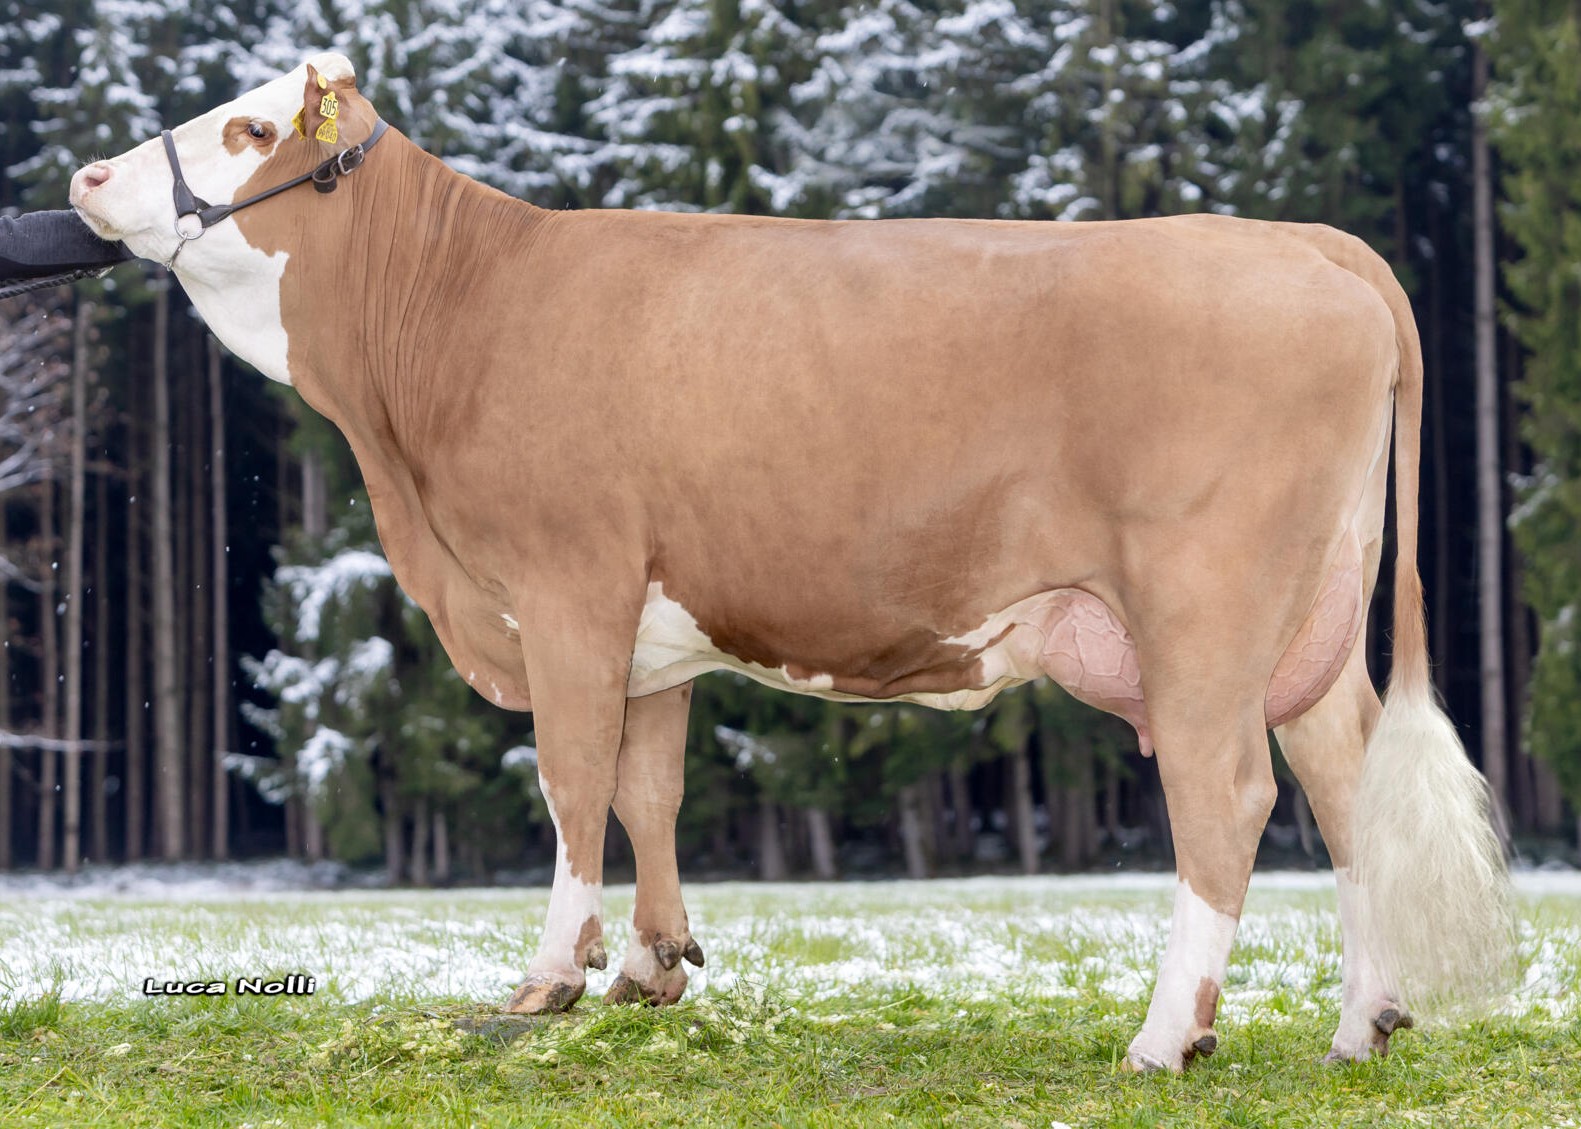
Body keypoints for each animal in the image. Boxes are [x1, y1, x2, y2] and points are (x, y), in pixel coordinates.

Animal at [69, 53, 1511, 1072]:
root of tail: (1300, 240)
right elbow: (647, 786)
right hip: (1311, 621)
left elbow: (571, 782)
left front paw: (549, 980)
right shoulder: (645, 627)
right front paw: (650, 967)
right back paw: (1361, 1024)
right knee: (1343, 783)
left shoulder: (565, 588)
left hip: (1203, 612)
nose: (85, 178)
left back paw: (1168, 1036)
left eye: (252, 129)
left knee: (1228, 797)